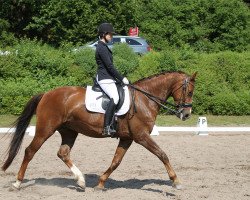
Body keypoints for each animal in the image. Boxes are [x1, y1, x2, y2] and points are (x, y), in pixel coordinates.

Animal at [1, 70, 197, 191]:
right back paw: (17, 183)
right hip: (45, 129)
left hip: (69, 131)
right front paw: (176, 181)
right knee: (30, 151)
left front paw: (101, 183)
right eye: (189, 92)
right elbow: (162, 154)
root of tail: (46, 94)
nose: (186, 114)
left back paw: (81, 181)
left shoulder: (127, 138)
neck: (145, 99)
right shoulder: (141, 136)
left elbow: (116, 161)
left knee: (63, 153)